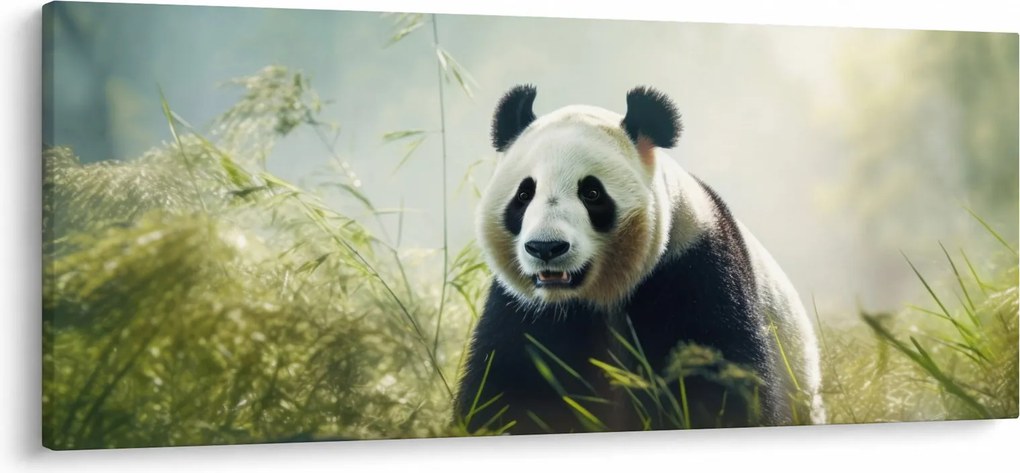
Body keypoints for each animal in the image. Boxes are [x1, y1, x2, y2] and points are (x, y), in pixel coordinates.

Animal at [455, 84, 824, 435]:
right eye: (524, 194)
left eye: (592, 193)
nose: (546, 248)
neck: (598, 294)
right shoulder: (525, 309)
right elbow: (509, 386)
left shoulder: (694, 267)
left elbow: (717, 378)